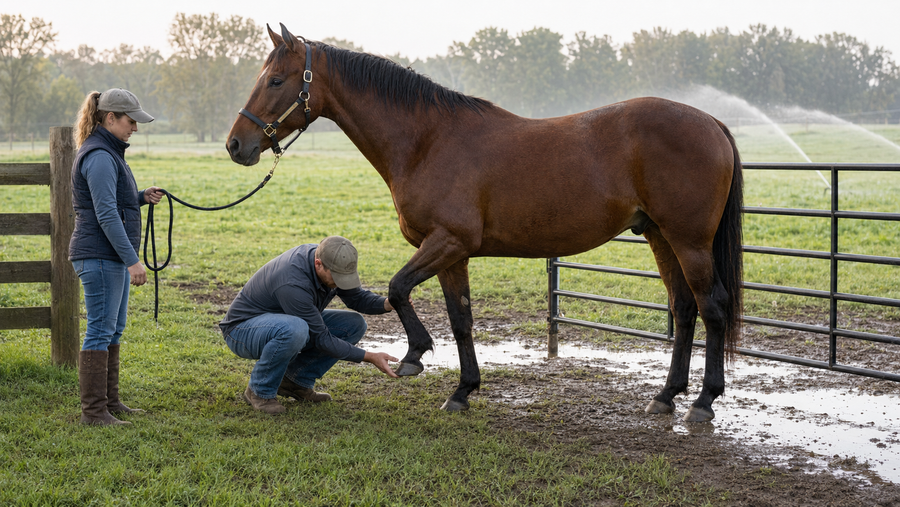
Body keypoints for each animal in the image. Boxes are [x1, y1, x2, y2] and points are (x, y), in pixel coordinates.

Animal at [226, 24, 744, 422]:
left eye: (276, 80)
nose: (236, 145)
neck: (427, 141)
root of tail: (712, 122)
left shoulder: (446, 242)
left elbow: (398, 288)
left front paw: (414, 356)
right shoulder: (453, 255)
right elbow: (461, 319)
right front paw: (463, 390)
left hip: (689, 241)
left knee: (712, 307)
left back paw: (703, 402)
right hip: (660, 237)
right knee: (684, 308)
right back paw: (666, 396)